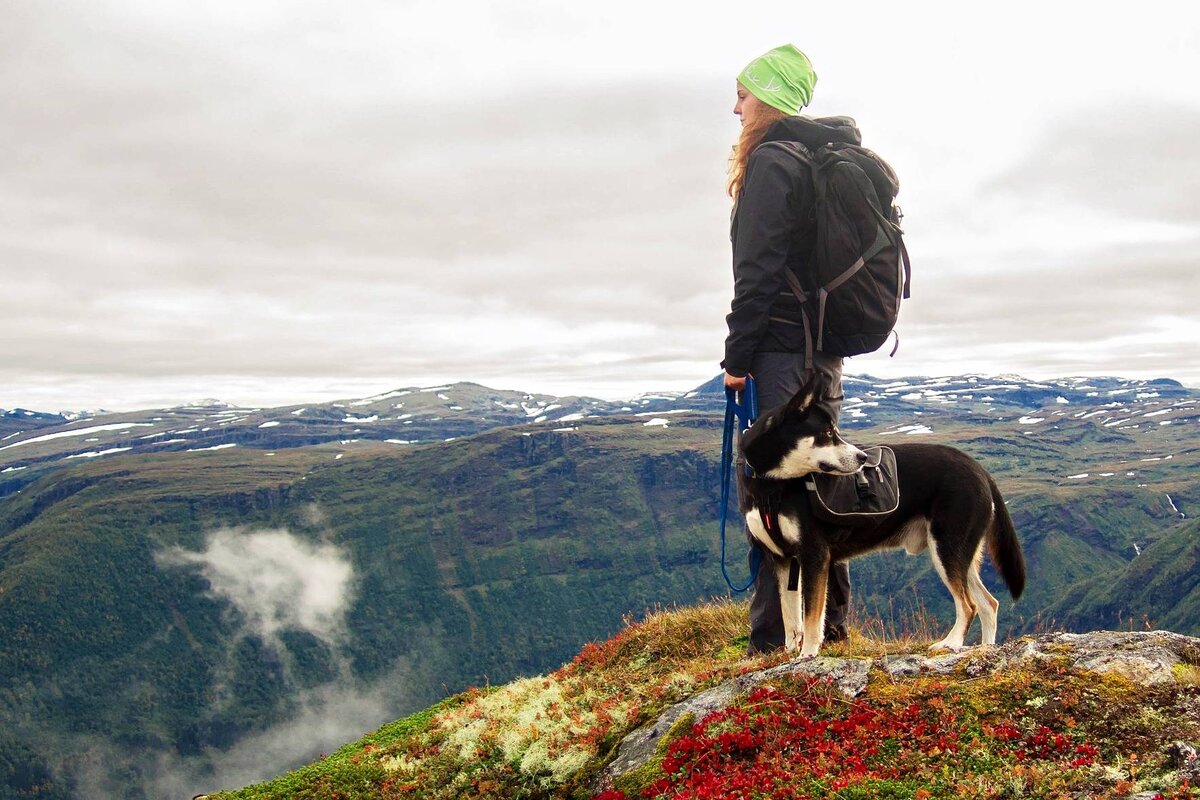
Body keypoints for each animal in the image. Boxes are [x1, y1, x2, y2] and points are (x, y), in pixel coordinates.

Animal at [734, 376, 1027, 657]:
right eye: (827, 434)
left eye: (834, 432)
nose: (862, 457)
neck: (771, 485)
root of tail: (980, 470)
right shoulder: (783, 561)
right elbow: (791, 618)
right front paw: (788, 653)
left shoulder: (814, 555)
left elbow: (812, 619)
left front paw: (807, 655)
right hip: (960, 554)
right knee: (989, 603)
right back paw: (986, 649)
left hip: (947, 549)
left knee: (969, 605)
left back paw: (950, 643)